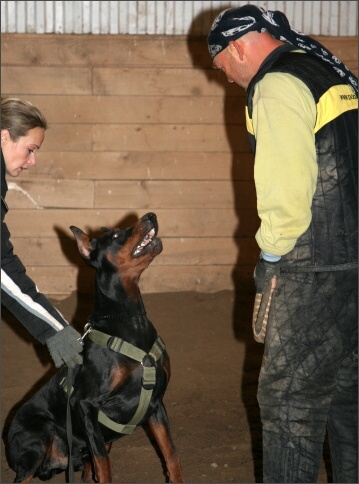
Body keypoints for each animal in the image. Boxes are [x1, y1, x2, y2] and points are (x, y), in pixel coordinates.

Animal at [6, 213, 184, 484]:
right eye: (115, 235)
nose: (151, 215)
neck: (128, 319)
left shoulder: (155, 403)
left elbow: (171, 453)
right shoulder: (85, 405)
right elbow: (104, 464)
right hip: (39, 436)